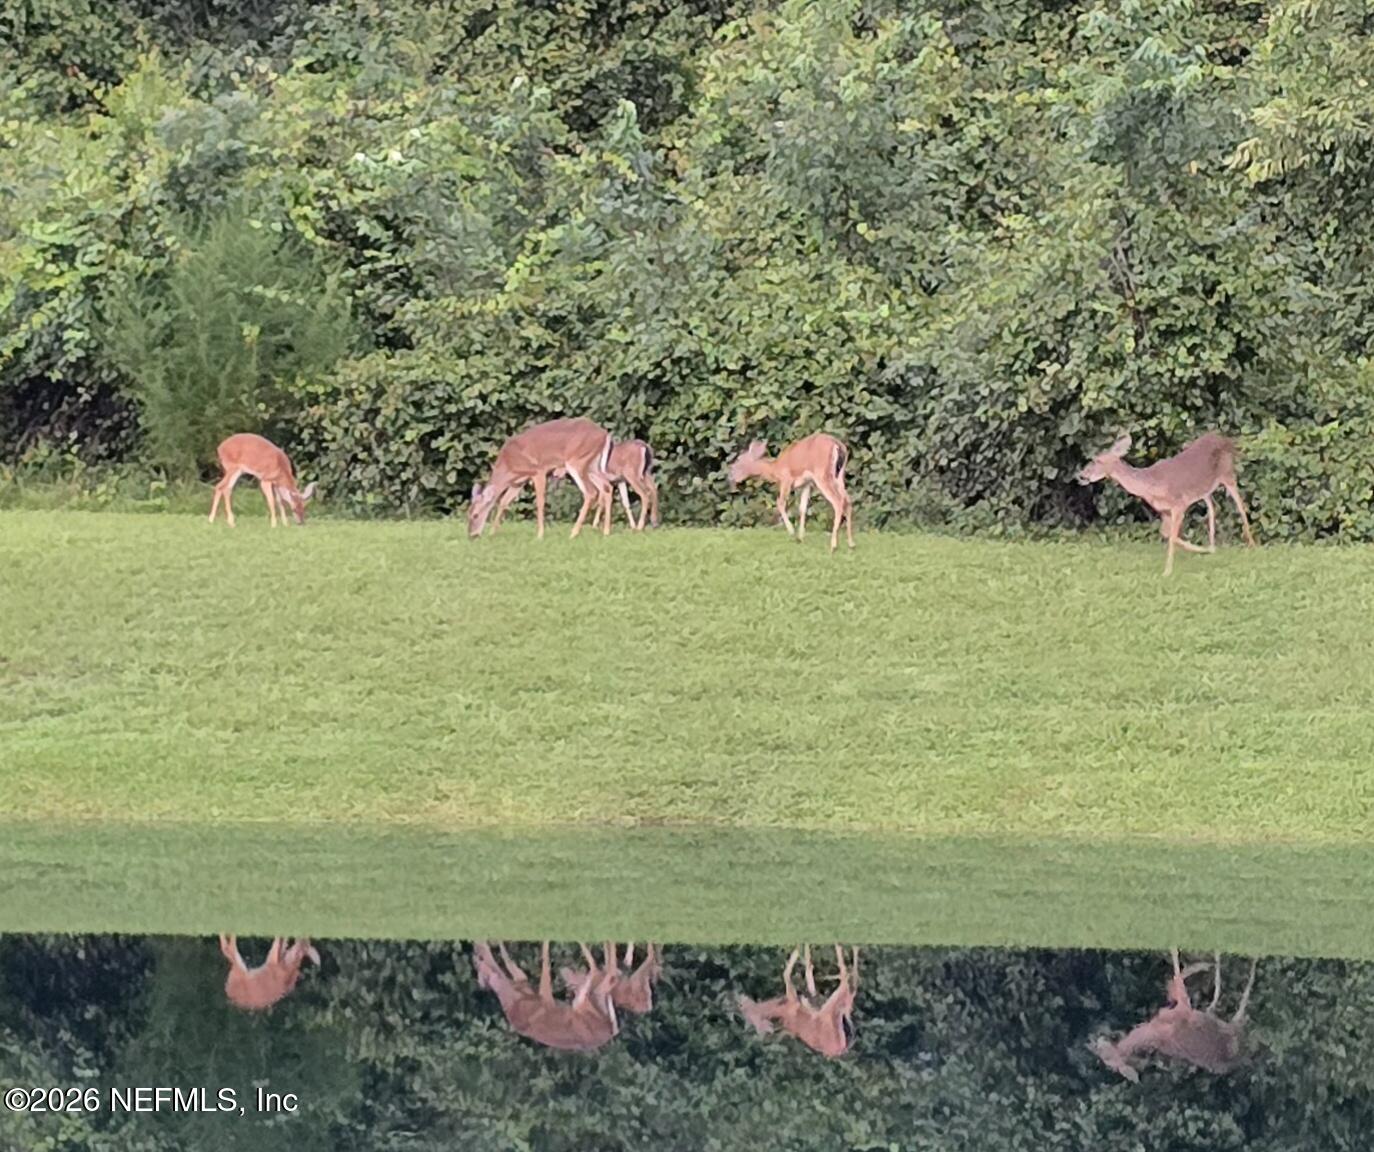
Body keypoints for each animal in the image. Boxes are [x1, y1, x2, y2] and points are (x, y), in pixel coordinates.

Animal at [468, 418, 614, 540]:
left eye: (475, 515)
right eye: (467, 515)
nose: (472, 536)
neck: (508, 465)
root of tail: (604, 434)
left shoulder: (538, 471)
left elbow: (540, 501)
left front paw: (540, 534)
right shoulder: (518, 483)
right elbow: (504, 502)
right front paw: (492, 532)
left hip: (577, 461)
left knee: (591, 491)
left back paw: (573, 533)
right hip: (592, 466)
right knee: (607, 487)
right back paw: (606, 532)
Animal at [473, 940, 622, 1052]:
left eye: (478, 961)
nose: (475, 955)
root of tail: (608, 1031)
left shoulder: (523, 981)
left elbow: (510, 962)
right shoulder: (545, 999)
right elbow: (545, 963)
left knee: (606, 975)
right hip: (585, 1005)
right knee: (607, 975)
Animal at [1076, 431, 1256, 576]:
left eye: (1097, 461)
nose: (1082, 475)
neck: (1150, 486)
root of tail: (1225, 439)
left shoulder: (1179, 505)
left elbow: (1172, 537)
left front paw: (1167, 571)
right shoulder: (1164, 511)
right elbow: (1166, 534)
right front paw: (1206, 550)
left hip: (1228, 473)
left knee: (1241, 506)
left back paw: (1251, 546)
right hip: (1205, 488)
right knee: (1213, 507)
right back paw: (1213, 545)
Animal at [1091, 948, 1259, 1081]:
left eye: (1104, 1053)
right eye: (1107, 1058)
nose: (1099, 1041)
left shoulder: (1180, 1007)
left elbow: (1177, 978)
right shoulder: (1183, 1007)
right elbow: (1179, 977)